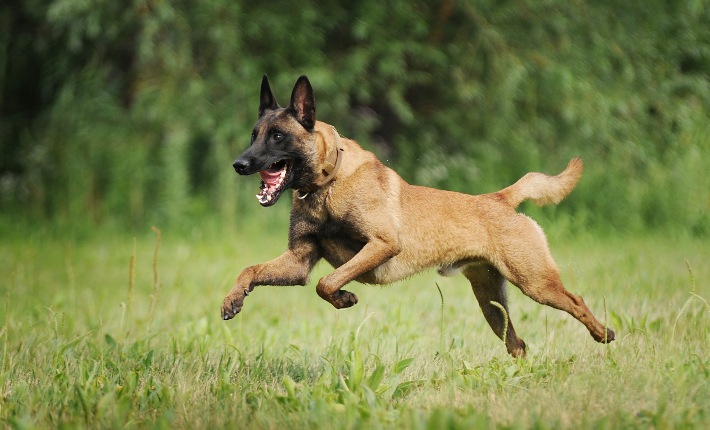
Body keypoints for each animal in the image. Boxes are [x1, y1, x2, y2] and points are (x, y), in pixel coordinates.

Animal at [224, 74, 616, 356]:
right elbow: (251, 270)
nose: (239, 164)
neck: (327, 184)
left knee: (576, 301)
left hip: (536, 283)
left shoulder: (382, 244)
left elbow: (327, 282)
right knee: (517, 344)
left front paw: (344, 299)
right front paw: (233, 298)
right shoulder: (299, 261)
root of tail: (500, 198)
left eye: (277, 136)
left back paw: (604, 334)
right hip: (491, 301)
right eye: (254, 135)